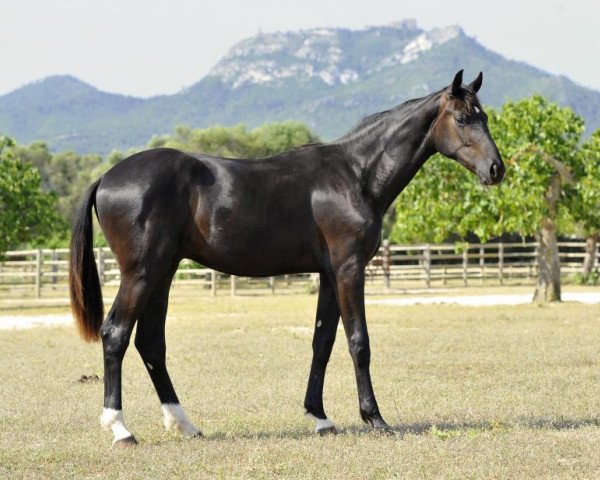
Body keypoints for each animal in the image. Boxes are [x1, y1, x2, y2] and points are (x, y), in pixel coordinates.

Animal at [68, 71, 504, 446]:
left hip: (164, 272)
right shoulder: (349, 269)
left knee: (150, 343)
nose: (496, 169)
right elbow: (358, 342)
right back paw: (120, 429)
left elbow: (322, 341)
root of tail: (106, 177)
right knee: (116, 334)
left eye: (484, 116)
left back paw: (184, 424)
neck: (355, 175)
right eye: (463, 118)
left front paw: (320, 417)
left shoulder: (328, 274)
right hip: (140, 274)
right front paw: (375, 418)